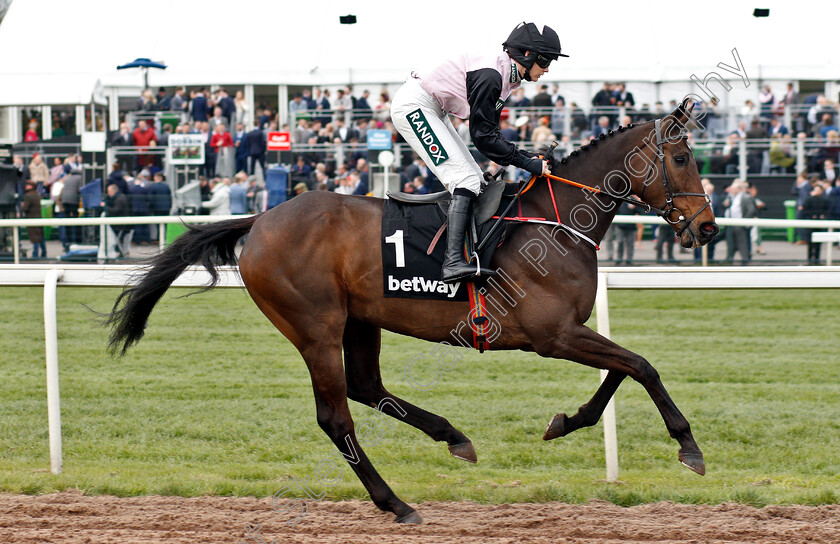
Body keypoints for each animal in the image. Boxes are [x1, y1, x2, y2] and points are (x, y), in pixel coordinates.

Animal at [105, 98, 720, 524]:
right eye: (682, 157)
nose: (708, 227)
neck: (556, 219)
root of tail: (260, 220)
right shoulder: (553, 335)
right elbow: (641, 365)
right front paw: (688, 447)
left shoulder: (569, 331)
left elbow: (622, 370)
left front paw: (566, 421)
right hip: (315, 328)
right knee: (337, 416)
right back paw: (395, 503)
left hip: (359, 321)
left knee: (366, 387)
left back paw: (452, 437)